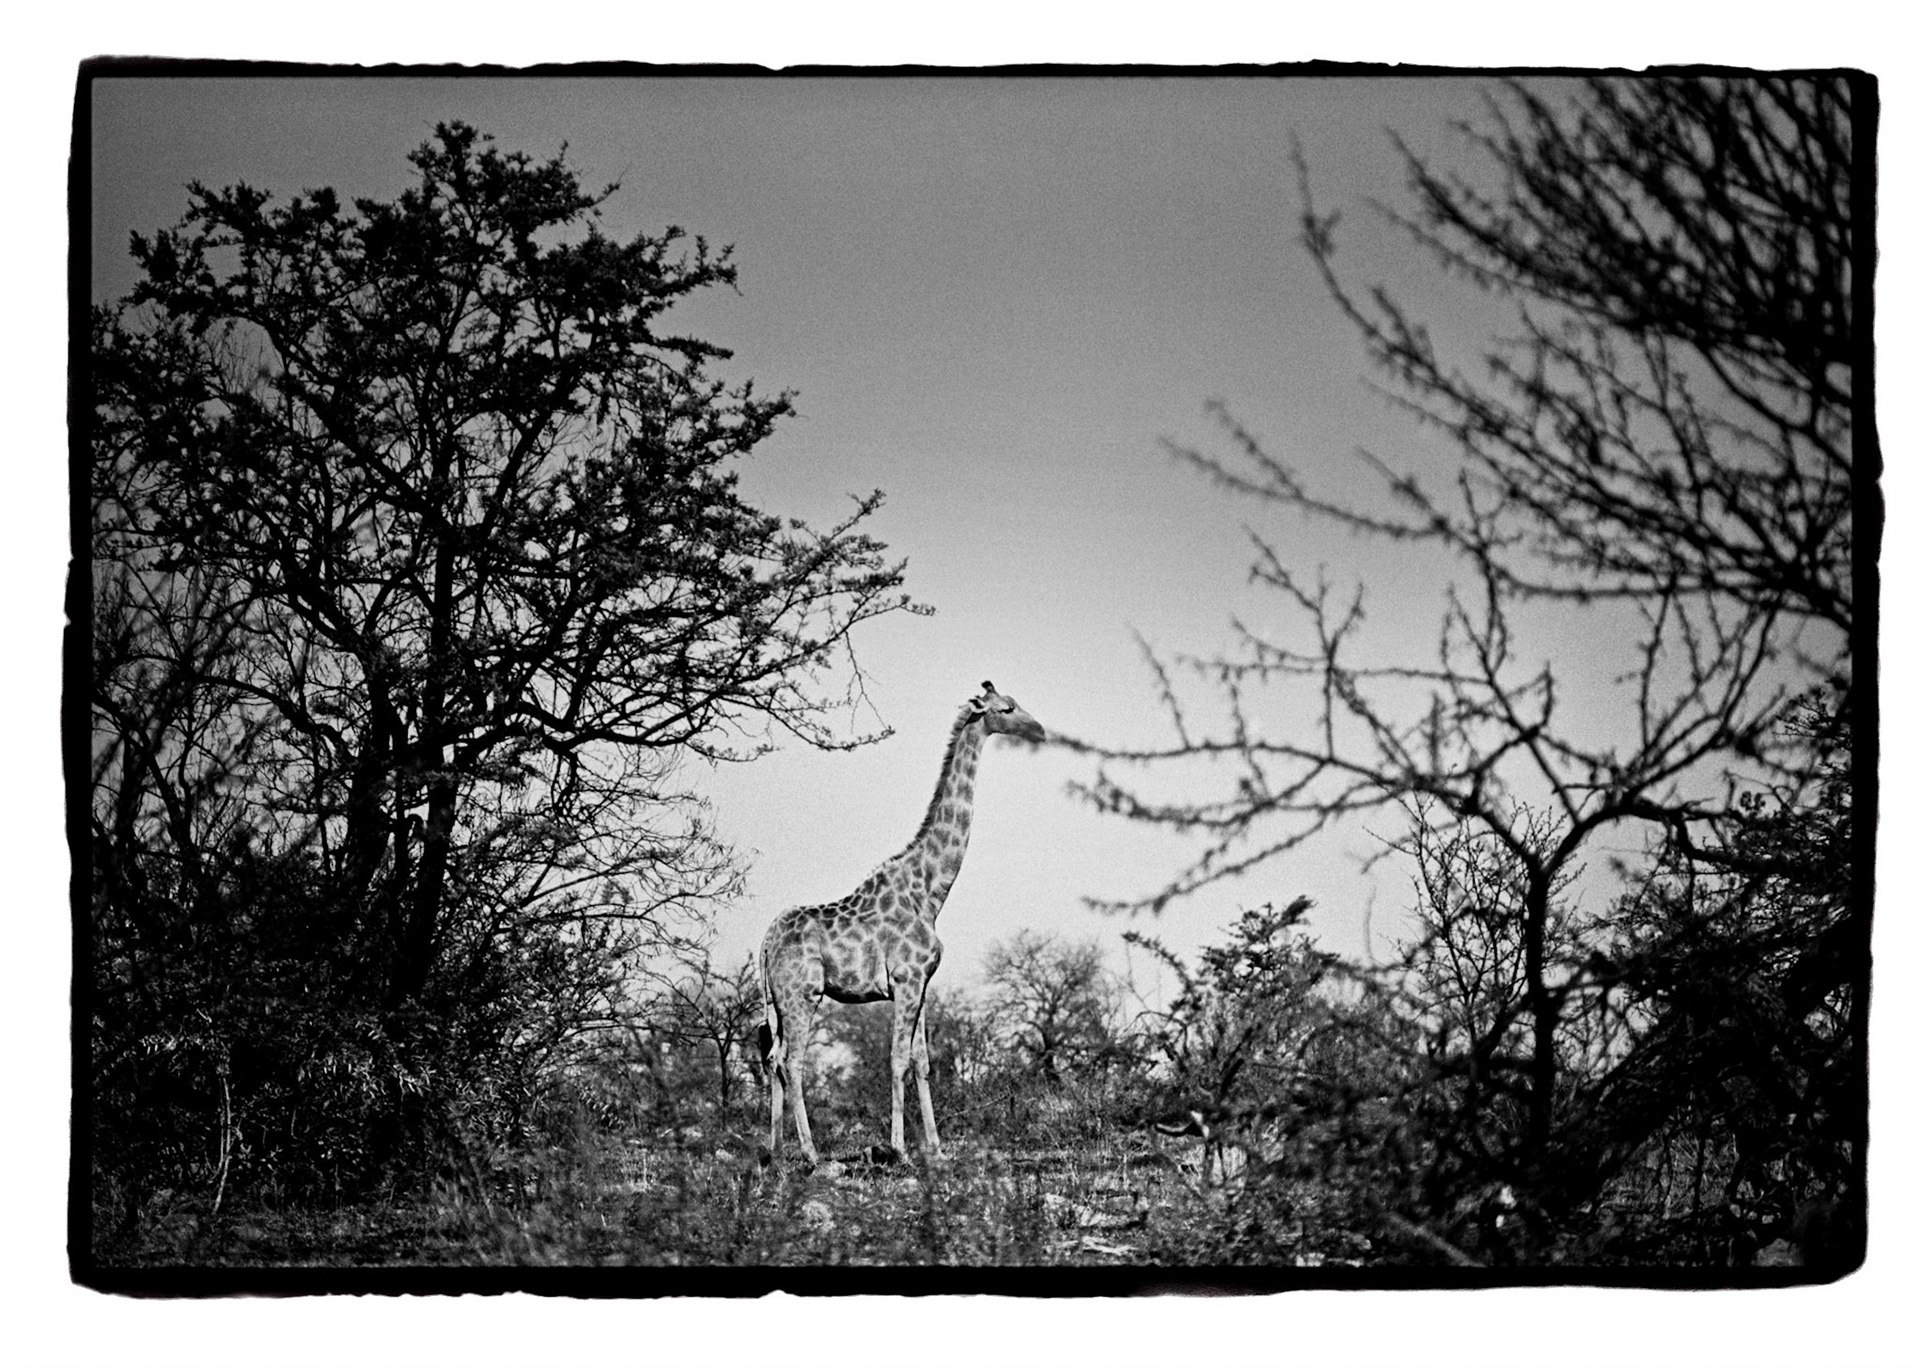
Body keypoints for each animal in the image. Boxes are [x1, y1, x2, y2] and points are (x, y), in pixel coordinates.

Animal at [758, 680, 1046, 1164]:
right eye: (1007, 708)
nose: (1040, 730)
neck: (929, 891)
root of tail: (763, 943)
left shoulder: (923, 983)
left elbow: (923, 1061)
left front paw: (937, 1148)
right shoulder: (907, 979)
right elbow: (896, 1058)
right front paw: (899, 1149)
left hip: (777, 1002)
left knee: (773, 1057)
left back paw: (776, 1150)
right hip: (802, 994)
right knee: (791, 1061)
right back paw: (811, 1154)